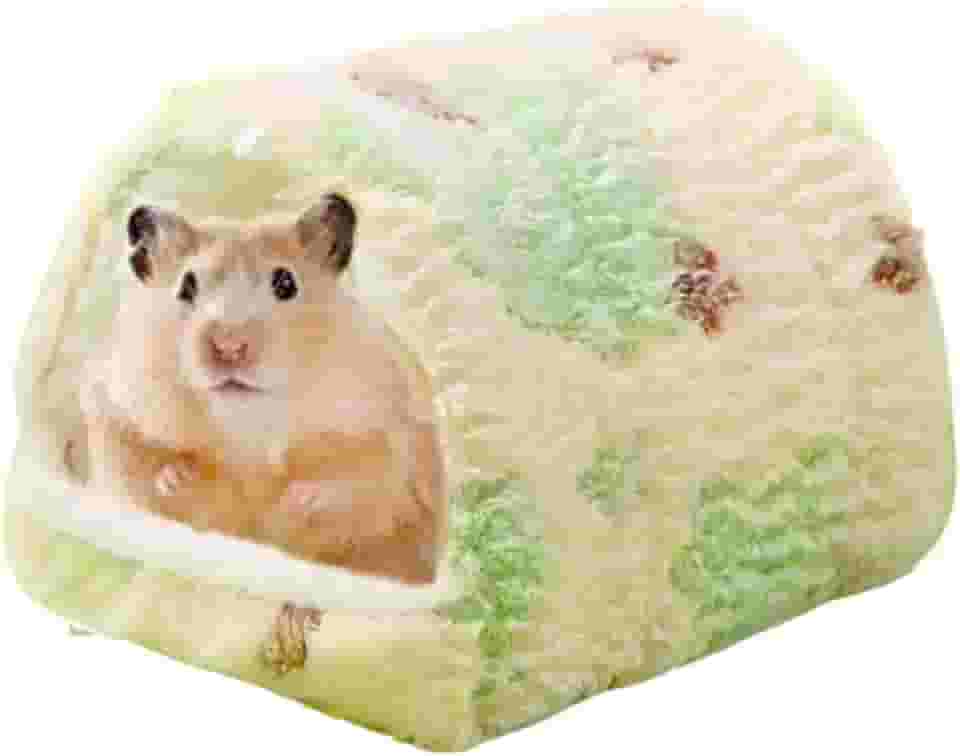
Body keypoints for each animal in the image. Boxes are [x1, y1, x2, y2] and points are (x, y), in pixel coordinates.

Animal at [82, 194, 447, 589]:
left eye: (286, 283)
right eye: (186, 286)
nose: (229, 347)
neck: (248, 425)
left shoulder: (386, 433)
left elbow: (359, 486)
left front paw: (302, 500)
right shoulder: (114, 411)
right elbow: (145, 472)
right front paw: (175, 478)